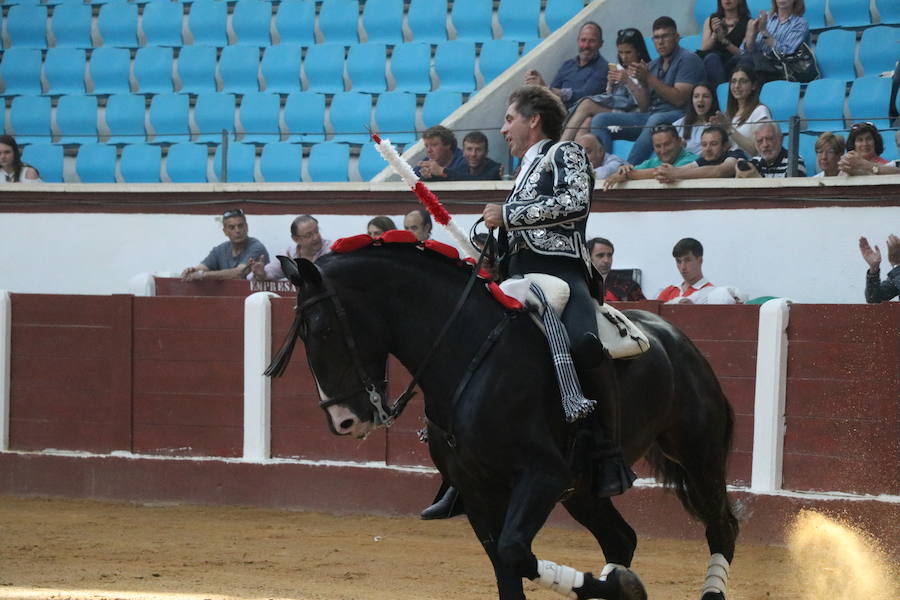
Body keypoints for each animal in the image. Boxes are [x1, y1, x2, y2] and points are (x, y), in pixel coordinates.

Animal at [272, 237, 740, 600]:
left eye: (322, 328)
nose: (344, 421)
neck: (470, 352)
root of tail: (676, 338)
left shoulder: (542, 475)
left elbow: (515, 551)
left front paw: (624, 586)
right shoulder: (479, 491)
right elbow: (505, 565)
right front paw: (622, 585)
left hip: (697, 454)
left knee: (722, 526)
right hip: (583, 489)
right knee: (620, 538)